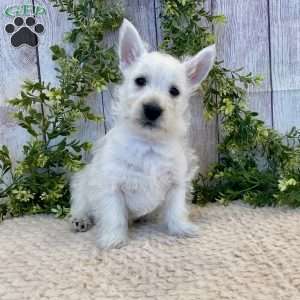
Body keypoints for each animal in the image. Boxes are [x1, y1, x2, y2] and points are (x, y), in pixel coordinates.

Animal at [70, 18, 216, 248]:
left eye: (174, 91)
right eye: (140, 81)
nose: (152, 109)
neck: (148, 144)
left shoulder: (177, 183)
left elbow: (176, 210)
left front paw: (182, 229)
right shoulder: (112, 186)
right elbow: (114, 216)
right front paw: (113, 240)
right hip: (82, 185)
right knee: (80, 205)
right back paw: (80, 220)